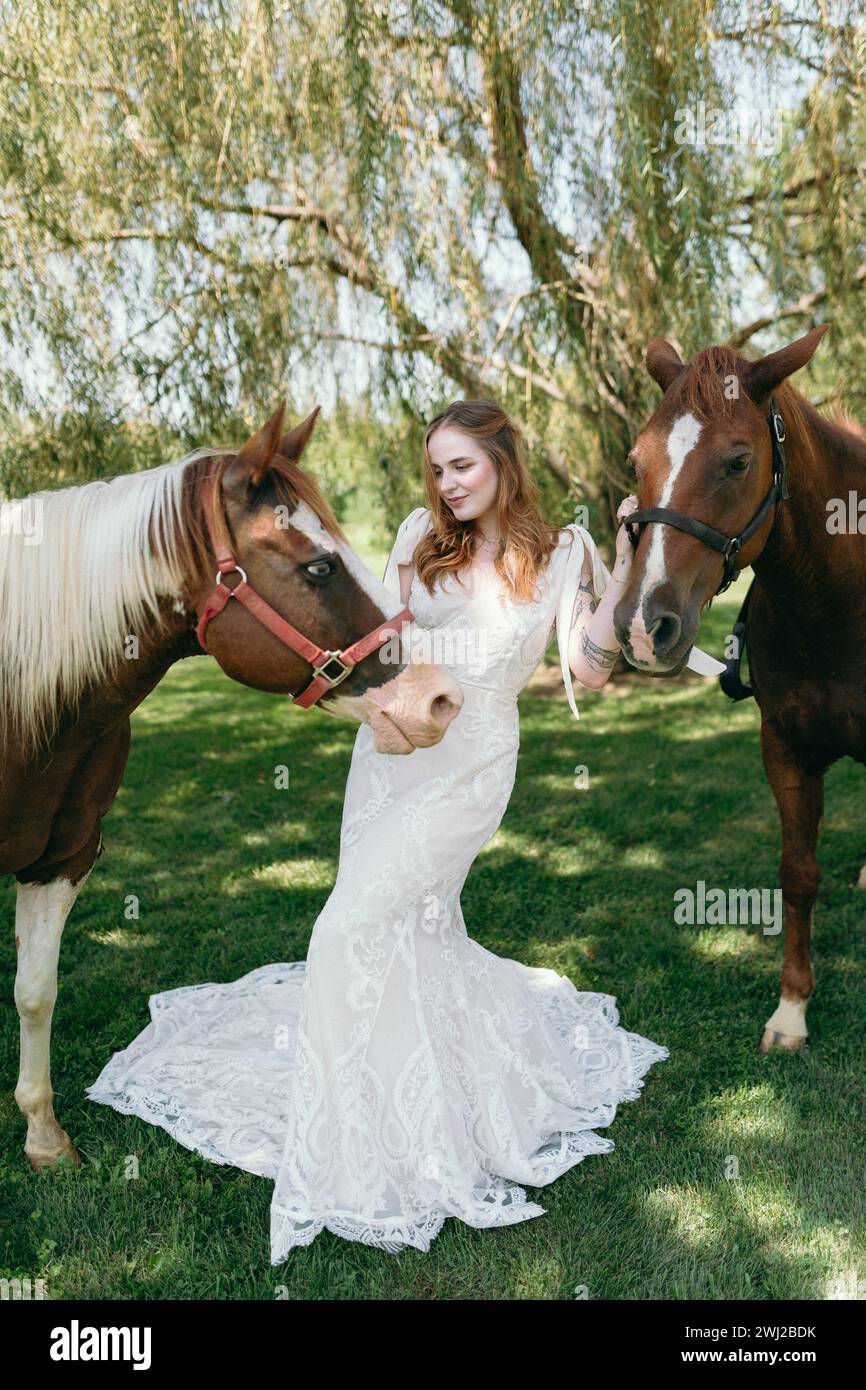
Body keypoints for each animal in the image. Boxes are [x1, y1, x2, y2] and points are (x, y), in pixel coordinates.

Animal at [614, 322, 866, 1045]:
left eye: (737, 462)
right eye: (636, 460)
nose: (644, 626)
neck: (838, 607)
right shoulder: (782, 748)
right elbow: (798, 872)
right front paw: (792, 1007)